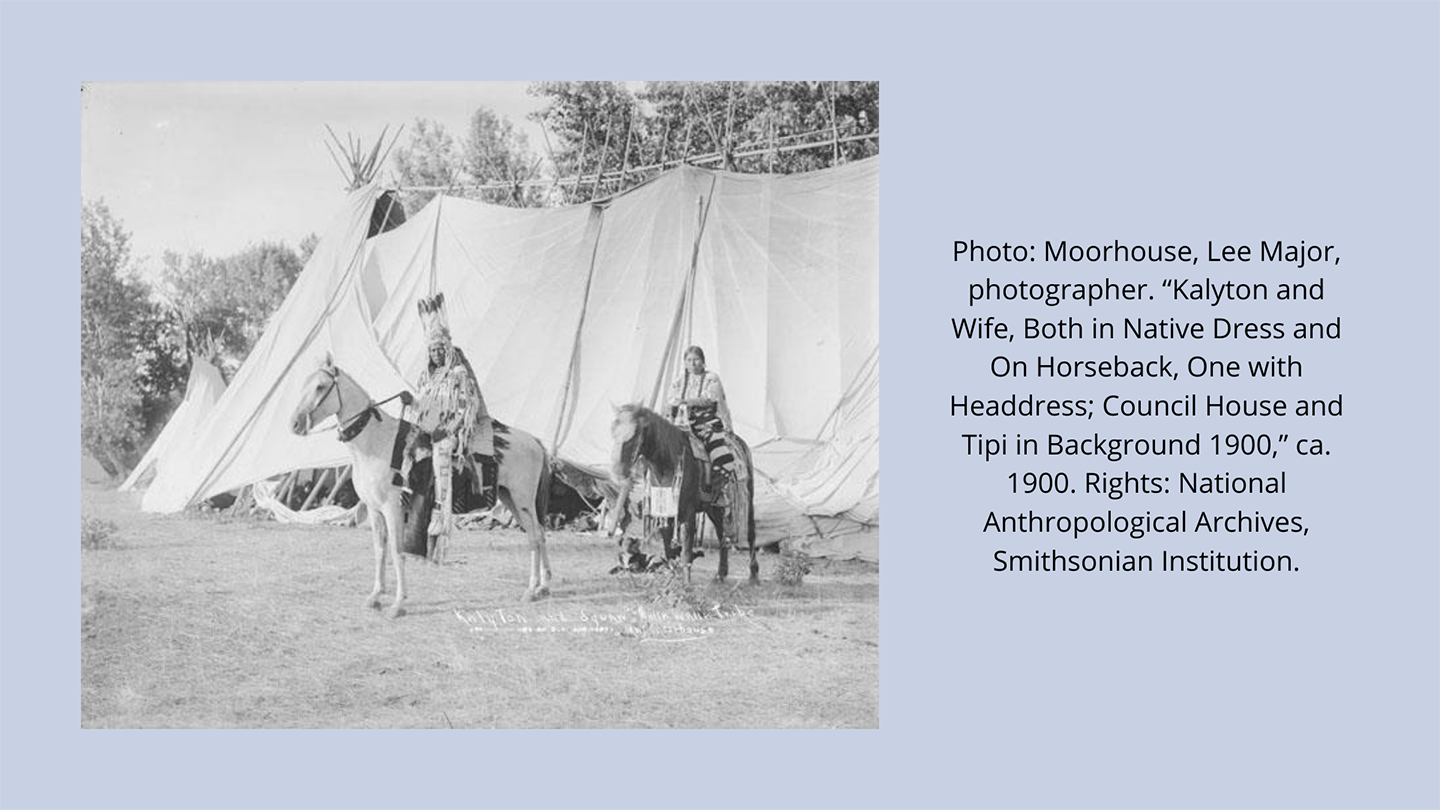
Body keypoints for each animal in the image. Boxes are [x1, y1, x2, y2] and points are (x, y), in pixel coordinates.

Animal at [288, 355, 550, 613]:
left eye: (320, 386)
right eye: (303, 384)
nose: (295, 424)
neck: (375, 443)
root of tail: (534, 441)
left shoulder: (392, 508)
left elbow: (397, 550)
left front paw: (398, 603)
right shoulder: (374, 509)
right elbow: (380, 550)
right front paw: (376, 596)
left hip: (522, 500)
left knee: (535, 537)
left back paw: (531, 590)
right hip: (510, 498)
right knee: (539, 534)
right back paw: (543, 587)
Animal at [607, 403, 760, 579]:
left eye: (634, 435)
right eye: (613, 431)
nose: (618, 470)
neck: (667, 463)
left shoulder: (688, 512)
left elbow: (686, 549)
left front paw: (685, 581)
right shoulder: (665, 512)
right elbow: (670, 551)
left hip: (748, 499)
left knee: (751, 532)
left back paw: (753, 573)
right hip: (713, 508)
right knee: (721, 533)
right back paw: (721, 573)